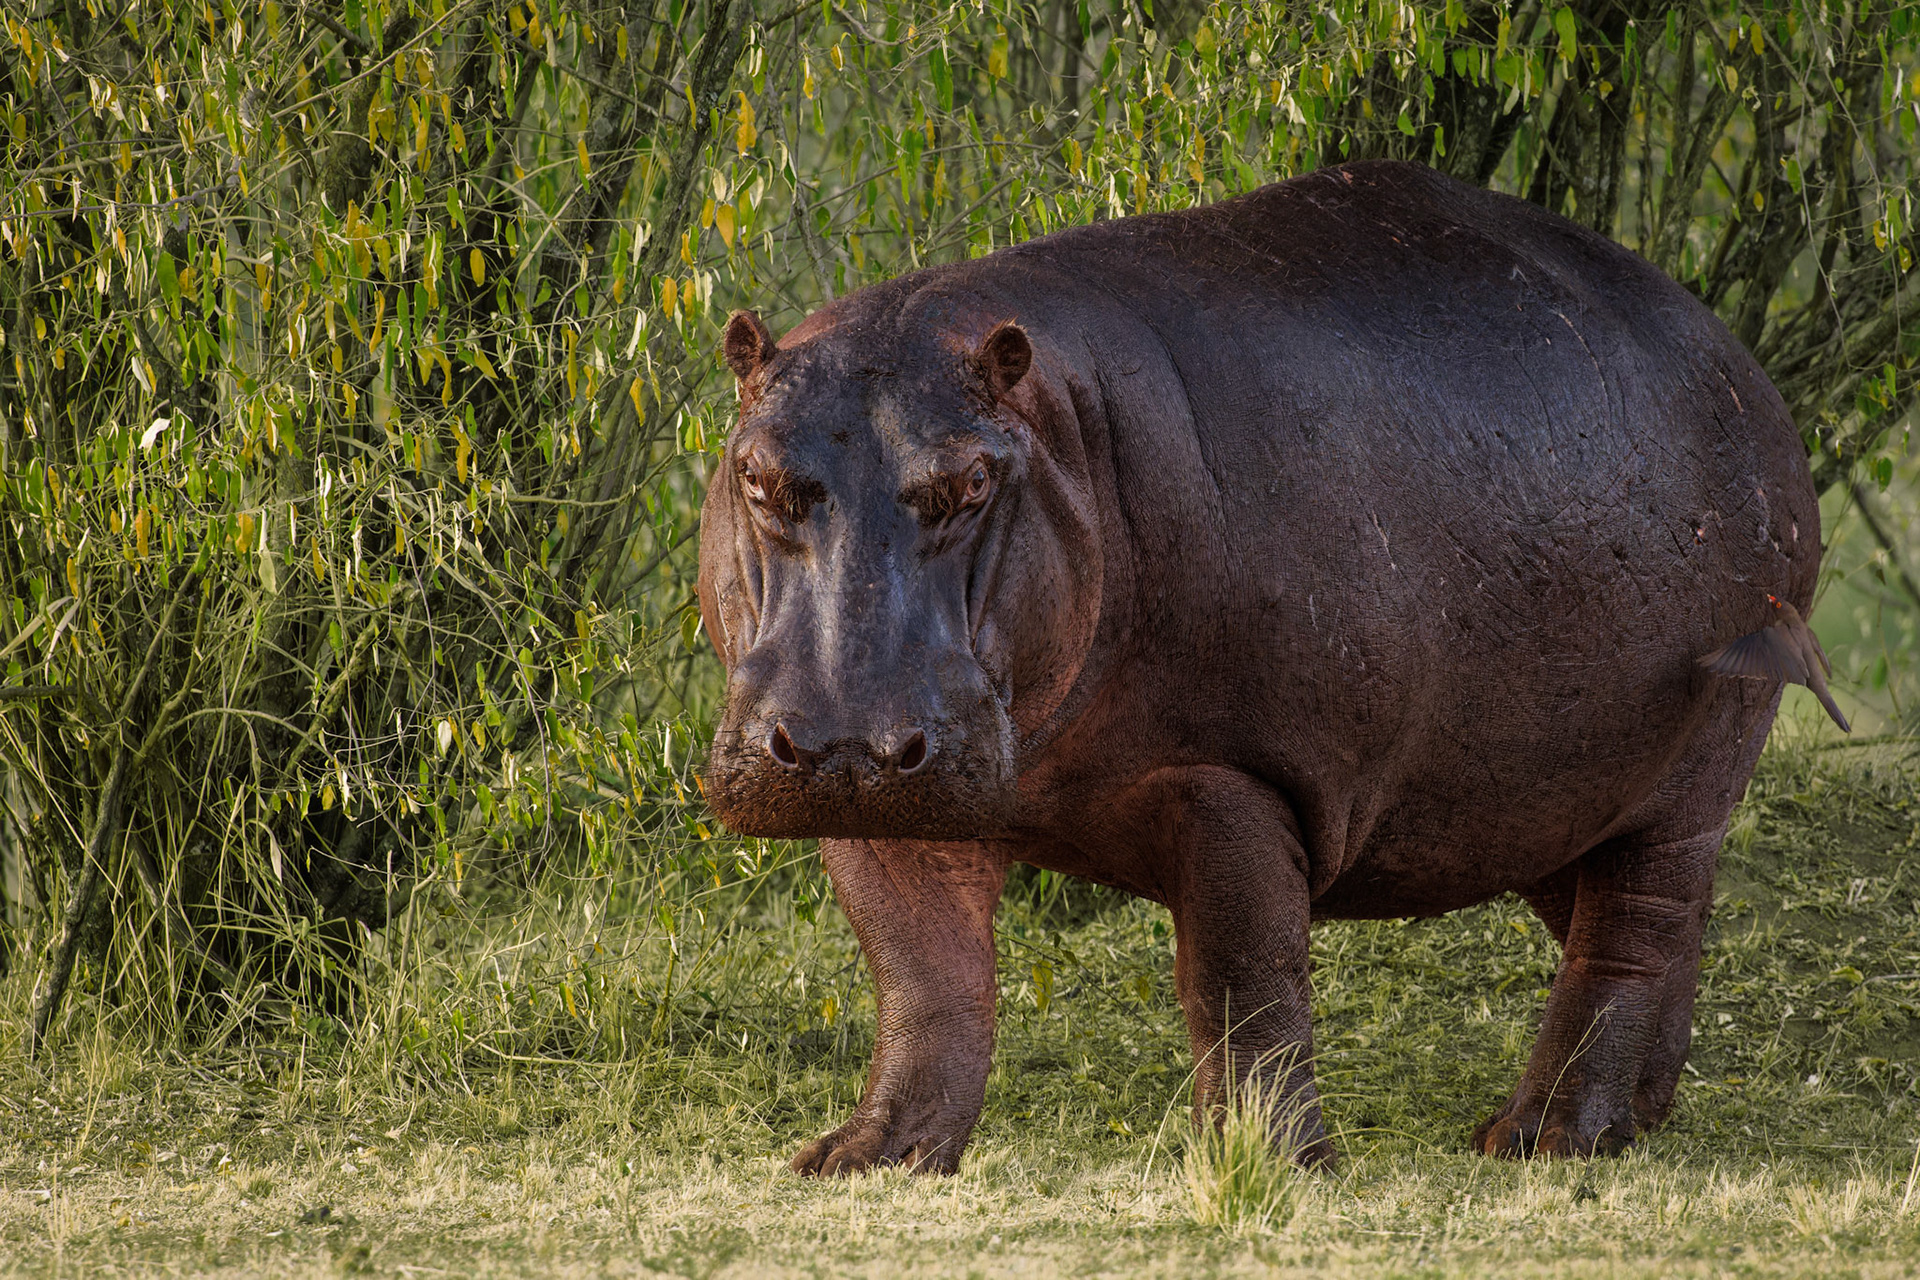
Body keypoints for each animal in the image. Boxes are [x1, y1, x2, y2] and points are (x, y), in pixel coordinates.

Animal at [696, 159, 1820, 1173]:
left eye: (973, 479)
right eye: (753, 471)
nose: (847, 737)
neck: (1064, 430)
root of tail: (1737, 363)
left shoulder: (1236, 774)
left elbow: (1241, 975)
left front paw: (1271, 1164)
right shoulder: (888, 794)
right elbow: (925, 975)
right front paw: (866, 1157)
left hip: (1698, 757)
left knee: (1634, 926)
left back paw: (1548, 1136)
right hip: (1546, 789)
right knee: (1629, 923)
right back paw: (1641, 1112)